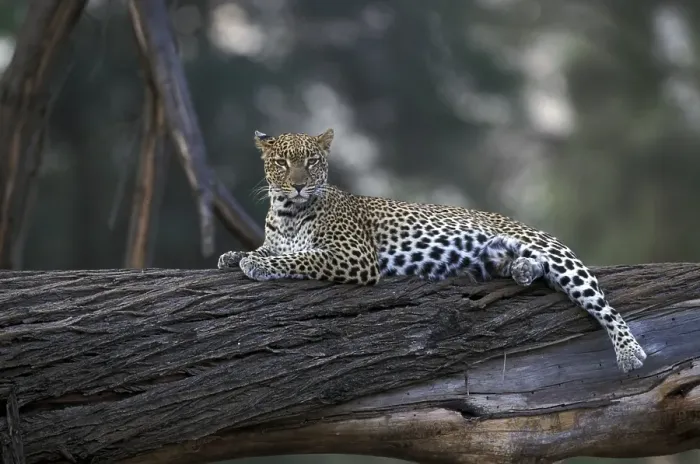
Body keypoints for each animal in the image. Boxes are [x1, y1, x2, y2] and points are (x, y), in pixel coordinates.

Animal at [218, 128, 647, 373]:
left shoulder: (354, 256)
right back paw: (523, 271)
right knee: (528, 268)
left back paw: (629, 352)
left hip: (555, 252)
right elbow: (269, 249)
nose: (298, 185)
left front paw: (257, 263)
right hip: (496, 257)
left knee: (602, 304)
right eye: (280, 162)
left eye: (311, 161)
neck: (287, 212)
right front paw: (233, 256)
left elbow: (300, 256)